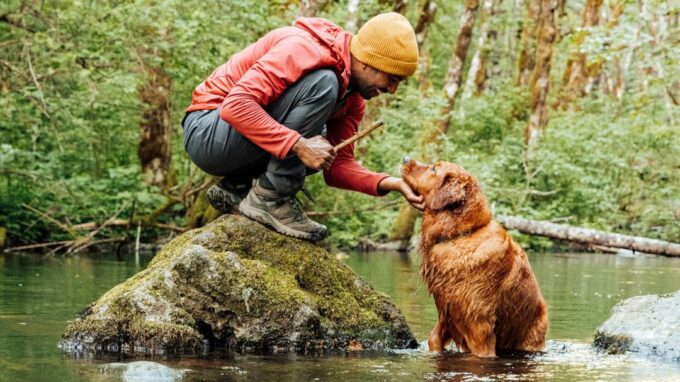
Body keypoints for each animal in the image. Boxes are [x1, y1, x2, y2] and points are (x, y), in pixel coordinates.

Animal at [402, 158, 548, 358]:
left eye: (433, 169)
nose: (405, 159)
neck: (461, 233)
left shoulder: (479, 326)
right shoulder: (446, 313)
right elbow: (434, 339)